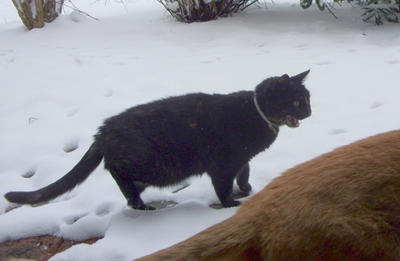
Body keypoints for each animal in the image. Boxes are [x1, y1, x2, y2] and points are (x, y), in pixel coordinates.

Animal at [3, 70, 312, 209]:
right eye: (297, 101)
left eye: (307, 99)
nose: (309, 112)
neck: (256, 114)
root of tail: (104, 130)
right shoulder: (223, 165)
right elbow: (223, 188)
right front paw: (230, 204)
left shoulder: (241, 160)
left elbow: (244, 174)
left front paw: (246, 189)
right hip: (152, 165)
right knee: (119, 175)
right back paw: (140, 204)